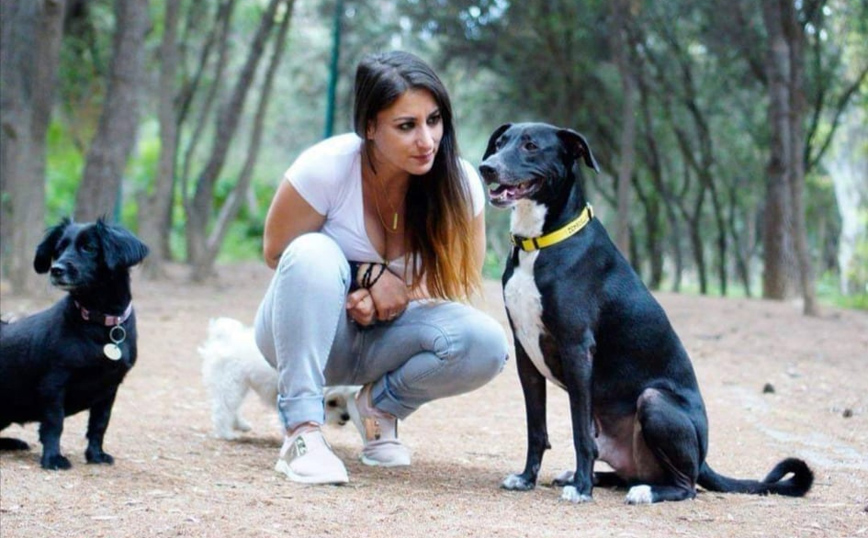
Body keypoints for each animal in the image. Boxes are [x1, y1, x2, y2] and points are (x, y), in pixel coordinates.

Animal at [0, 218, 149, 470]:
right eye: (58, 250)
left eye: (89, 247)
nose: (56, 269)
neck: (99, 323)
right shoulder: (54, 384)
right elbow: (54, 424)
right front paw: (52, 458)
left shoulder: (110, 388)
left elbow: (99, 424)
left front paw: (96, 455)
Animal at [199, 317, 362, 440]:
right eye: (332, 402)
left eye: (348, 400)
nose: (346, 417)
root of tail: (224, 338)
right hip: (231, 384)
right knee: (223, 409)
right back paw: (226, 433)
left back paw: (240, 425)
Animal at [479, 122, 814, 504]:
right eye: (500, 143)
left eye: (531, 146)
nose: (486, 168)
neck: (542, 242)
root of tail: (703, 457)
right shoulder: (526, 352)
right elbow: (536, 428)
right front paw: (526, 478)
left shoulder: (576, 347)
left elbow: (579, 433)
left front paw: (582, 489)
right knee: (627, 472)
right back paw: (589, 478)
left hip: (654, 400)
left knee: (687, 486)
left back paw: (641, 491)